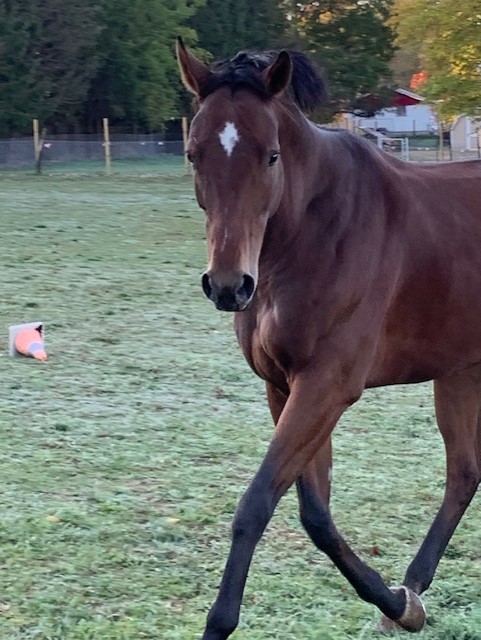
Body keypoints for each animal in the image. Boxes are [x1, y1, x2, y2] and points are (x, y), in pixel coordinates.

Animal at [176, 37, 481, 636]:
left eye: (271, 155)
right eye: (194, 154)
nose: (228, 285)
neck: (314, 231)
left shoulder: (327, 386)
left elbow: (257, 503)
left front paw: (219, 621)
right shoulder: (284, 386)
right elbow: (314, 510)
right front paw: (399, 603)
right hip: (459, 371)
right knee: (464, 474)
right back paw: (414, 585)